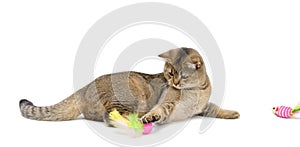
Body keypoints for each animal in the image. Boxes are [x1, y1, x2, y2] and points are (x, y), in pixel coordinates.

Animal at [18, 47, 239, 125]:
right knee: (111, 116)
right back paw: (138, 120)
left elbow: (215, 108)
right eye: (170, 73)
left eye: (182, 76)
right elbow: (160, 110)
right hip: (131, 97)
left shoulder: (203, 107)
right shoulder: (166, 103)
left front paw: (231, 113)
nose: (172, 83)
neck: (197, 91)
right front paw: (152, 117)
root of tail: (85, 86)